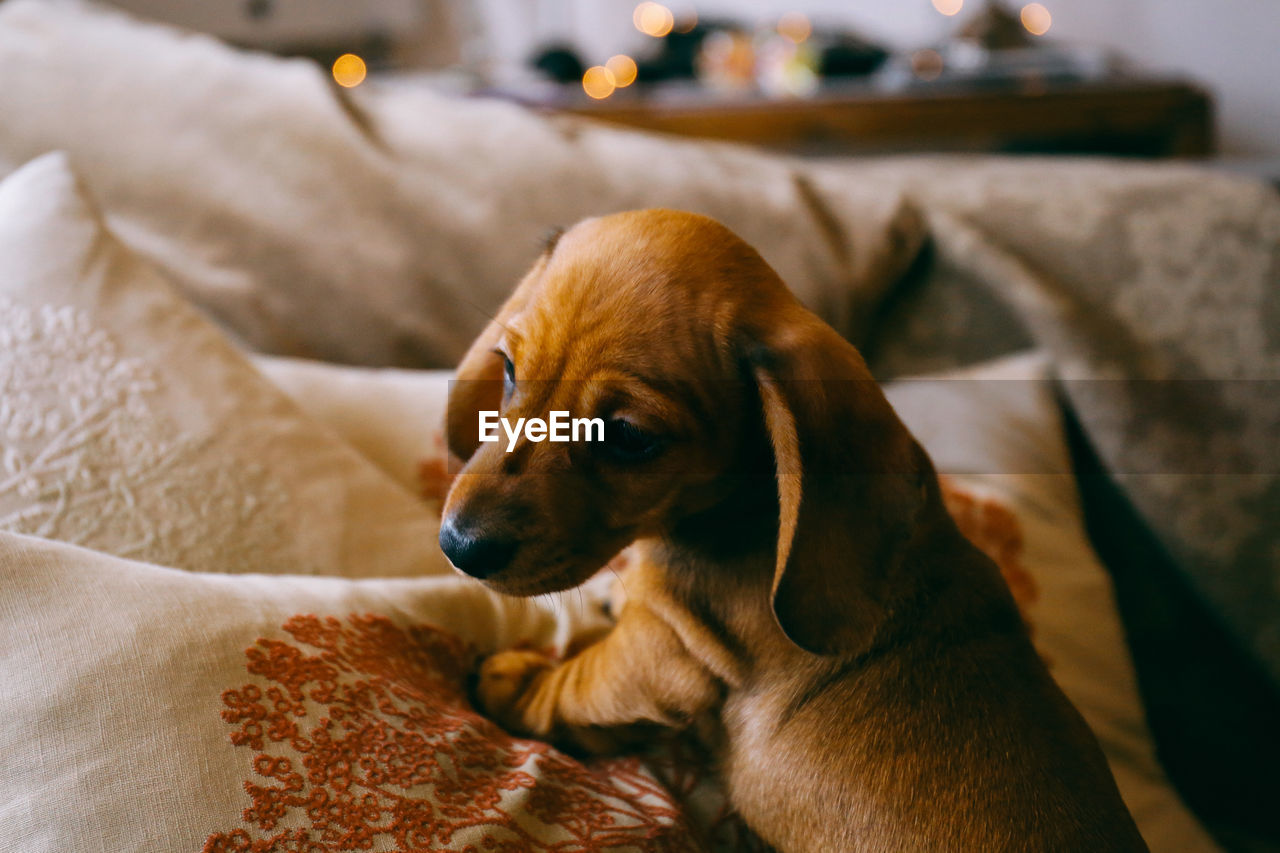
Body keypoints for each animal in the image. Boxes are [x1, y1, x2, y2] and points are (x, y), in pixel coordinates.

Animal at [442, 207, 1152, 850]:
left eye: (628, 437)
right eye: (509, 369)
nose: (457, 547)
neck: (743, 511)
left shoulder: (655, 654)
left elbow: (572, 685)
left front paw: (517, 681)